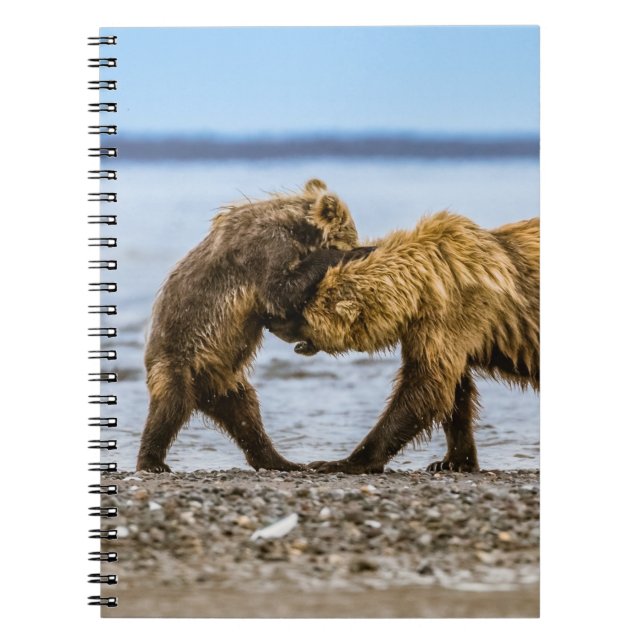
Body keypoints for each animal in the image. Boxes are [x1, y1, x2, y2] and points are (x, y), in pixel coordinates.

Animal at [136, 179, 372, 473]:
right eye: (352, 234)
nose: (359, 243)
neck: (297, 230)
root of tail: (202, 394)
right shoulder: (266, 248)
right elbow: (280, 290)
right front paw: (356, 253)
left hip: (225, 379)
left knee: (247, 415)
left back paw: (282, 461)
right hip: (177, 360)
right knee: (170, 406)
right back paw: (152, 461)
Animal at [267, 211, 540, 474]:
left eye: (301, 306)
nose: (271, 322)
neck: (420, 291)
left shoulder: (453, 315)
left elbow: (425, 384)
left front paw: (341, 462)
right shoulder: (430, 330)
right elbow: (454, 391)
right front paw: (453, 460)